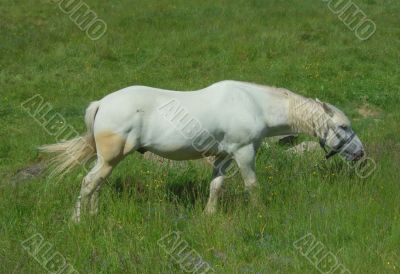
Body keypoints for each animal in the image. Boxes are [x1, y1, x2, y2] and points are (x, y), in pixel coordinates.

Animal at [39, 80, 362, 222]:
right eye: (343, 127)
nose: (360, 153)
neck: (254, 104)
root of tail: (102, 103)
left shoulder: (224, 157)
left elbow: (216, 186)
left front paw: (209, 215)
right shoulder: (244, 152)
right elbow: (252, 185)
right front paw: (259, 212)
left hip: (109, 160)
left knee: (97, 184)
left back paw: (93, 215)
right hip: (110, 158)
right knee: (89, 183)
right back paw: (78, 220)